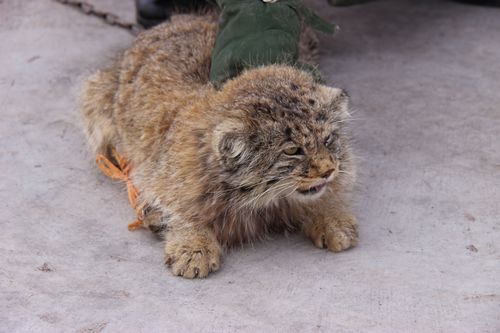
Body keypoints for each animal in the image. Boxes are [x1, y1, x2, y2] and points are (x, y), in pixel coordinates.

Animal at [80, 14, 358, 278]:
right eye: (292, 150)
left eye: (328, 139)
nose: (329, 170)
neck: (264, 201)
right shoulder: (163, 175)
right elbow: (178, 207)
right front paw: (193, 245)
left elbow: (322, 196)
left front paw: (330, 217)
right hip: (96, 102)